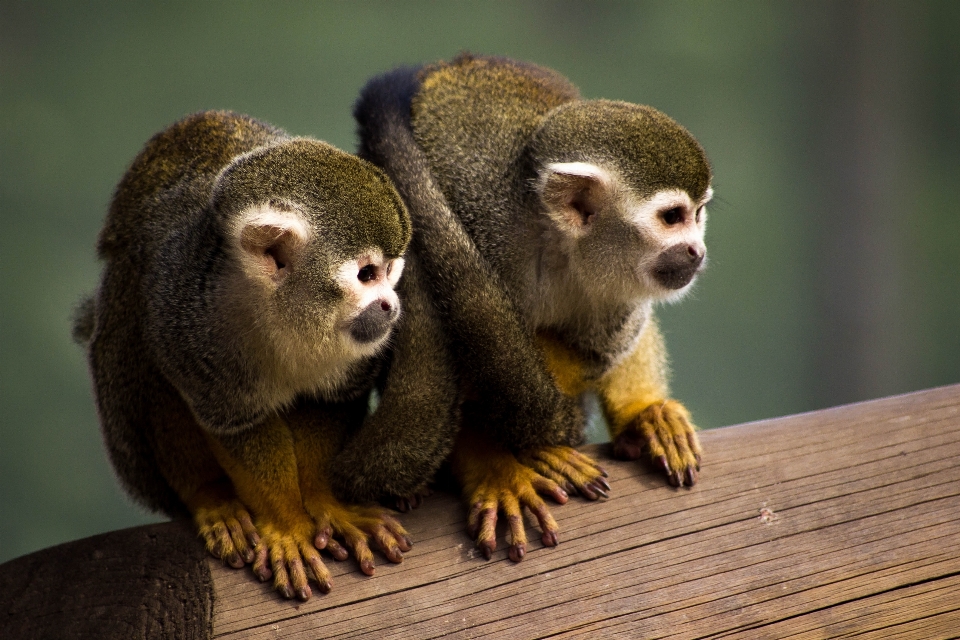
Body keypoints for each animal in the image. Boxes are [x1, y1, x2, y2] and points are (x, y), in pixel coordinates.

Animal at [77, 111, 460, 600]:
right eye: (367, 275)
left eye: (391, 272)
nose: (391, 306)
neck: (283, 313)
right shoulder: (190, 316)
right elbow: (236, 422)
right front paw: (287, 524)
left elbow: (325, 403)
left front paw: (326, 503)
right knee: (138, 346)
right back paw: (209, 496)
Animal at [354, 55, 712, 564]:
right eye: (672, 218)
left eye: (698, 214)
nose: (697, 251)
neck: (559, 241)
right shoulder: (483, 218)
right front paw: (497, 467)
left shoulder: (622, 286)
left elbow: (590, 354)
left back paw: (643, 414)